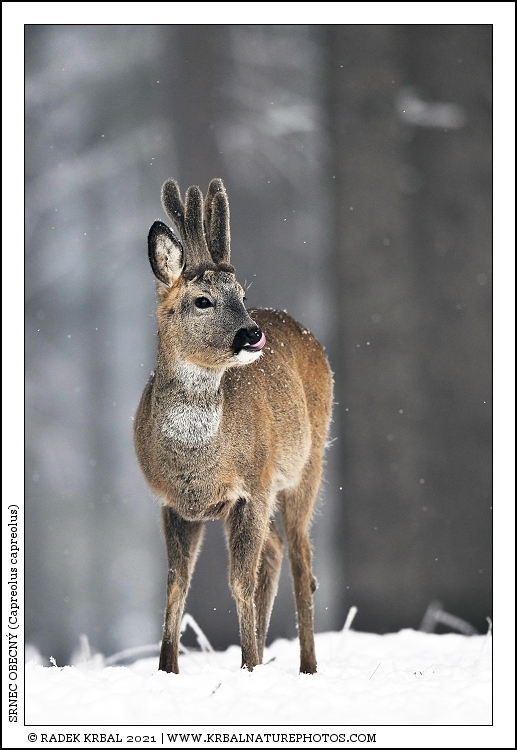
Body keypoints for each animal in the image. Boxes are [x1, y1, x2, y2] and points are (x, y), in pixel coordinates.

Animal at [134, 178, 333, 675]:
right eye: (202, 300)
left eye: (241, 294)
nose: (251, 334)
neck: (198, 460)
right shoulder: (172, 502)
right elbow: (176, 584)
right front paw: (167, 669)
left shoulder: (252, 487)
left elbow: (238, 582)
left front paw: (248, 666)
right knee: (277, 550)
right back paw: (263, 653)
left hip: (308, 465)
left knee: (301, 559)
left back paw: (305, 666)